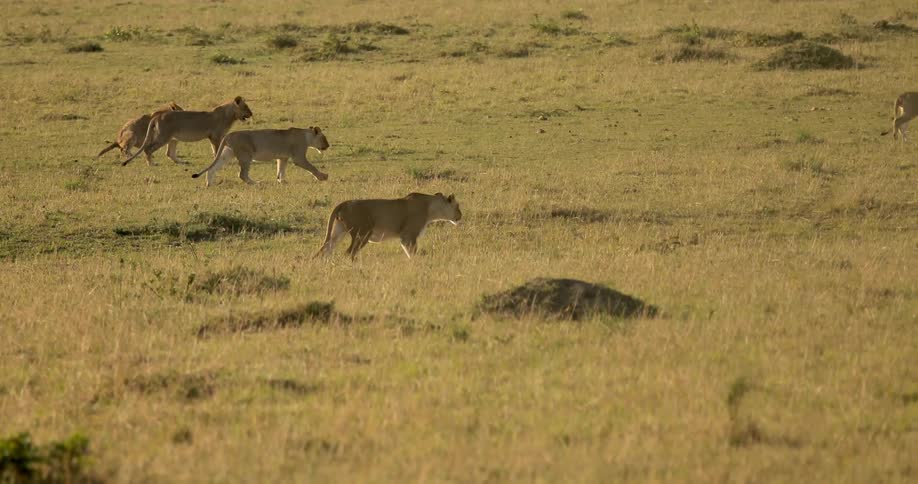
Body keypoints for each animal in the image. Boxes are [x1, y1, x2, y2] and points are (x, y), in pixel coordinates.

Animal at [121, 96, 253, 167]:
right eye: (246, 107)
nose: (252, 114)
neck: (229, 115)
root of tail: (157, 116)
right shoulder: (215, 137)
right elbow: (216, 150)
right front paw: (217, 161)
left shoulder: (214, 137)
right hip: (163, 137)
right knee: (148, 149)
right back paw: (151, 164)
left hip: (172, 138)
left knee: (169, 153)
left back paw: (182, 162)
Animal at [191, 127, 330, 186]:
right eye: (324, 138)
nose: (328, 145)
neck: (306, 136)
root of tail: (228, 135)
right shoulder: (299, 157)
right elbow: (312, 167)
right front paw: (323, 177)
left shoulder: (282, 157)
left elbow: (281, 170)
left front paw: (282, 181)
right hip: (246, 155)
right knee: (242, 174)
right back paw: (256, 183)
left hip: (227, 154)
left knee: (212, 169)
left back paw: (209, 184)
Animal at [315, 192, 462, 260]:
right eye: (458, 206)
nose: (461, 215)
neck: (431, 207)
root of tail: (344, 203)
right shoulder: (409, 235)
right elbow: (412, 252)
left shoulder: (405, 237)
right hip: (362, 234)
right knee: (349, 252)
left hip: (338, 232)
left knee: (325, 249)